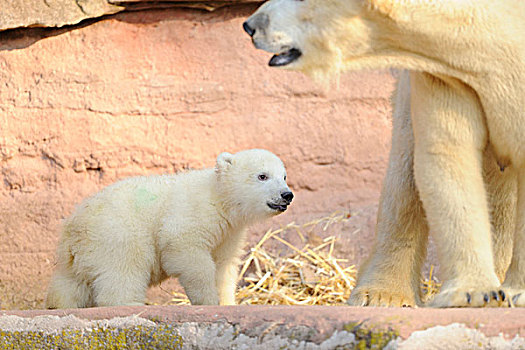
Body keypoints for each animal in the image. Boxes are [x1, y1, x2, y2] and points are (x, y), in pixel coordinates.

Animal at [245, 0, 524, 306]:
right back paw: (382, 293)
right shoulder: (446, 75)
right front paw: (473, 292)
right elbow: (447, 154)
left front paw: (514, 292)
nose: (251, 25)